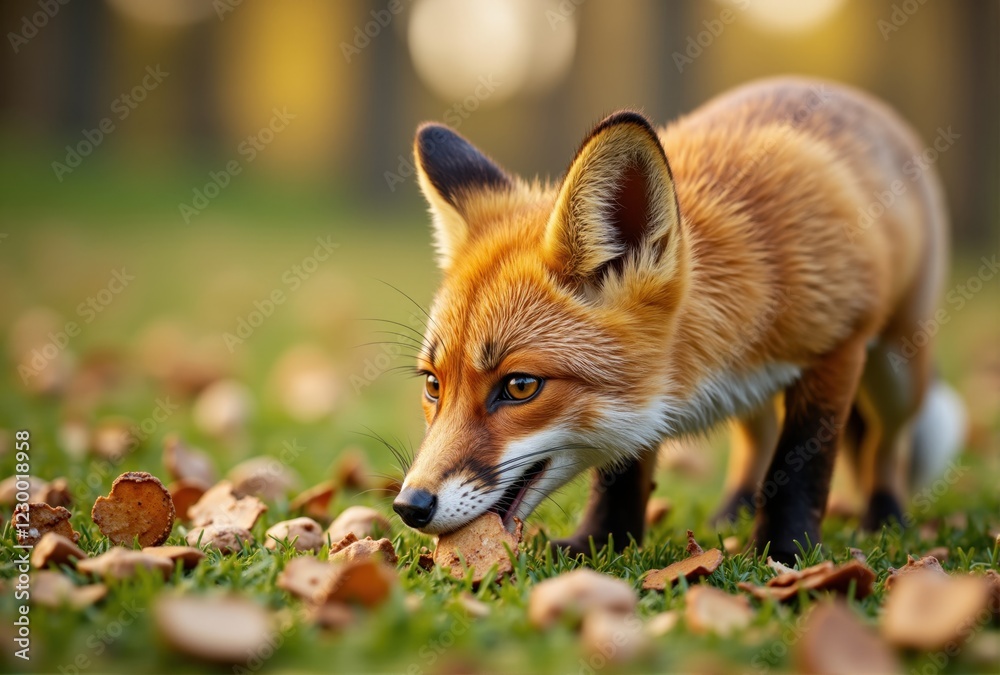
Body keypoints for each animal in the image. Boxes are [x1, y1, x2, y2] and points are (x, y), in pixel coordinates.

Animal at [391, 77, 965, 563]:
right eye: (434, 385)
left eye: (520, 386)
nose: (409, 507)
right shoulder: (642, 398)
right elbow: (621, 475)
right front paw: (599, 543)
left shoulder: (836, 347)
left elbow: (802, 465)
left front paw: (784, 552)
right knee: (757, 435)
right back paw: (733, 509)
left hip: (895, 370)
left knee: (885, 444)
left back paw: (884, 515)